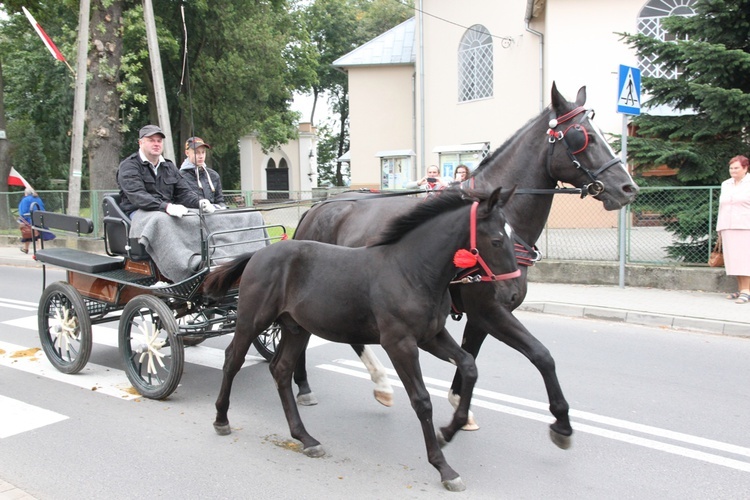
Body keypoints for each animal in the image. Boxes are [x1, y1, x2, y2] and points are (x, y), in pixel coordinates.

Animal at [206, 186, 524, 490]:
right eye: (497, 240)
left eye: (513, 235)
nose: (511, 294)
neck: (410, 270)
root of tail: (258, 254)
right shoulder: (399, 343)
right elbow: (422, 400)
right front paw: (444, 467)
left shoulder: (431, 336)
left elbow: (469, 365)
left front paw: (449, 430)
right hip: (252, 321)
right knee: (233, 360)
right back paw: (221, 419)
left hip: (297, 329)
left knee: (280, 370)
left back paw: (305, 438)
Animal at [294, 83, 640, 450]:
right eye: (580, 135)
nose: (628, 188)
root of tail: (317, 207)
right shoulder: (489, 310)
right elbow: (542, 354)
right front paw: (561, 421)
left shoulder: (483, 314)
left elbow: (470, 355)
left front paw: (460, 405)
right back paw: (312, 384)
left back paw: (378, 385)